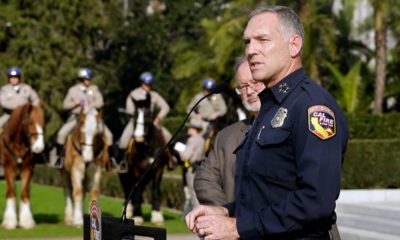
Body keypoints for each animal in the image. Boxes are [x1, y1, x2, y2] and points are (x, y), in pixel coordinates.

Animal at [117, 95, 170, 225]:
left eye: (148, 115)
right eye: (135, 115)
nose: (139, 137)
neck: (147, 147)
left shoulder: (158, 170)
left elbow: (155, 190)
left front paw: (157, 215)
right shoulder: (137, 170)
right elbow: (137, 191)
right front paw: (137, 215)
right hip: (124, 175)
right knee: (128, 190)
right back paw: (129, 210)